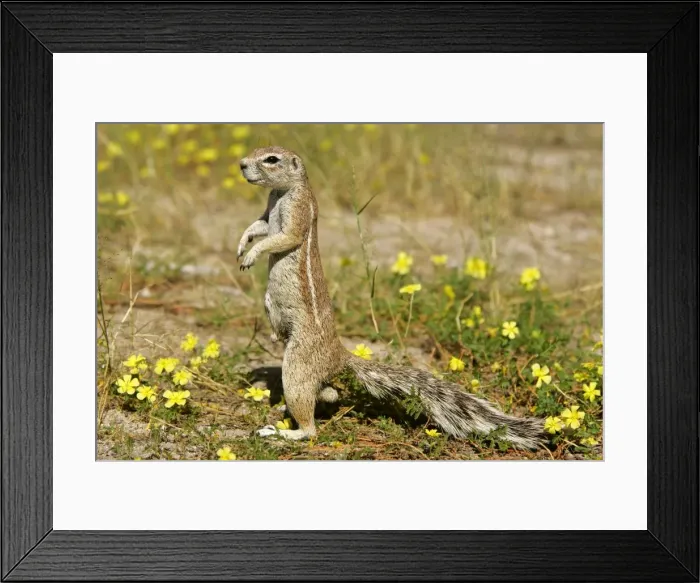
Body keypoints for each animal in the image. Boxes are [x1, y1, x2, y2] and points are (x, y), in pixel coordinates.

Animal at [237, 146, 545, 449]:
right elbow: (259, 225)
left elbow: (282, 237)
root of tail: (339, 354)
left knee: (311, 426)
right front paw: (242, 243)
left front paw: (251, 254)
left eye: (272, 159)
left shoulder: (297, 211)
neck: (282, 192)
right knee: (328, 394)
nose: (241, 164)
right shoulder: (268, 211)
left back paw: (281, 432)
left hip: (298, 364)